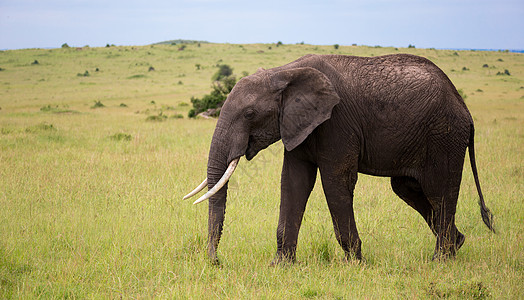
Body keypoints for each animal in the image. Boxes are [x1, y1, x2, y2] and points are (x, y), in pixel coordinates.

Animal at [185, 54, 496, 264]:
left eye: (249, 114)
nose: (216, 262)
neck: (284, 72)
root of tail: (464, 108)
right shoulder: (299, 124)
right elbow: (293, 182)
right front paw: (281, 266)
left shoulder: (336, 122)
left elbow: (335, 180)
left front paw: (355, 264)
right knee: (407, 189)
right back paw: (456, 246)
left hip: (444, 136)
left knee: (439, 191)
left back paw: (439, 260)